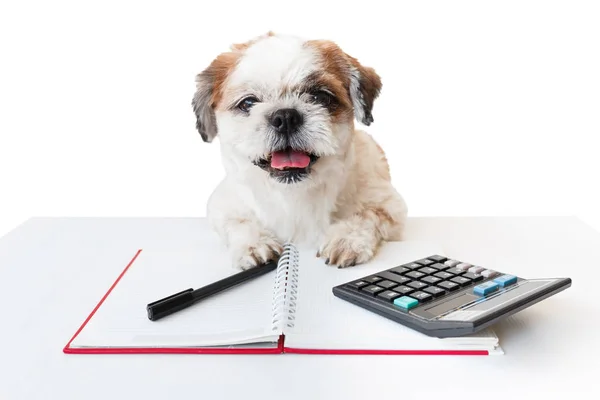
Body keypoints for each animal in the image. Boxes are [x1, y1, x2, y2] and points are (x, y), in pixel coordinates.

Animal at [192, 31, 408, 268]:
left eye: (321, 97)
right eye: (248, 103)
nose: (285, 117)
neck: (295, 193)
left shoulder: (390, 206)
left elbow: (367, 214)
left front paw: (346, 239)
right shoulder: (222, 205)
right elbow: (239, 222)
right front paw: (254, 244)